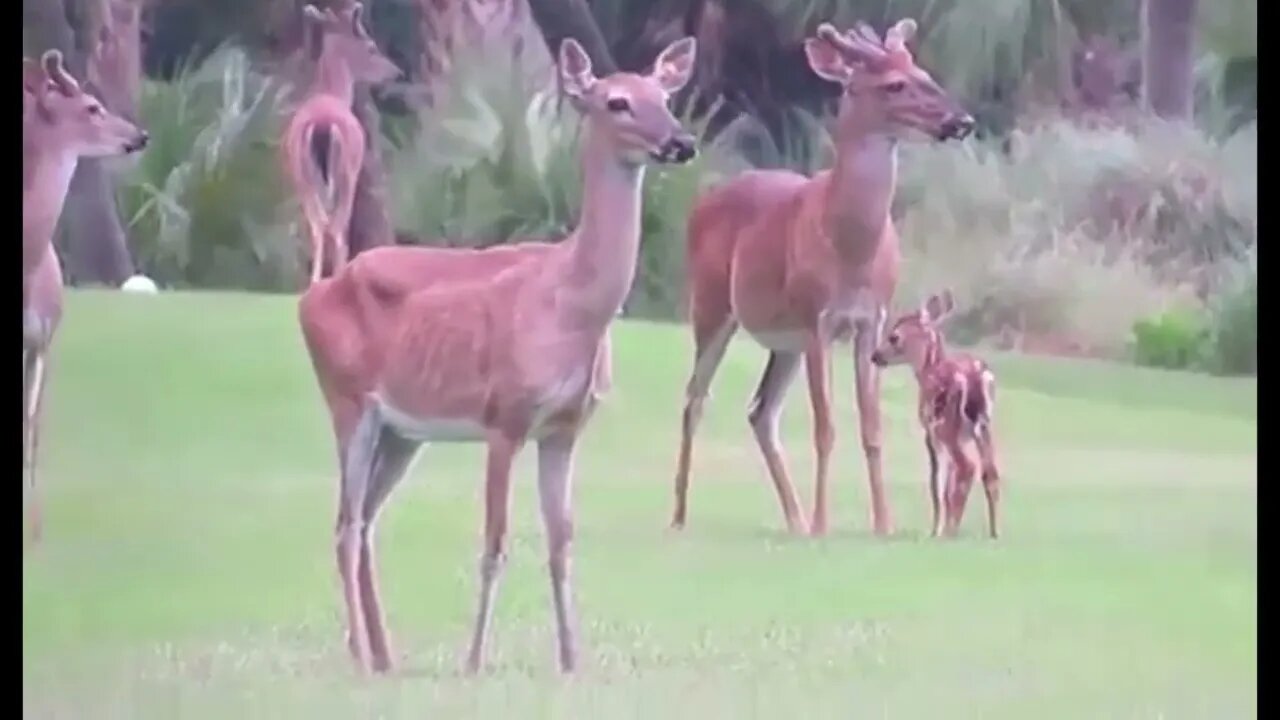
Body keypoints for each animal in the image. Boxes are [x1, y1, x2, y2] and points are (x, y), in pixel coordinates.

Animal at [282, 2, 396, 285]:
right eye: (371, 46)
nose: (395, 72)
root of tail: (322, 125)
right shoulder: (353, 170)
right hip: (345, 171)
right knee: (335, 223)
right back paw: (339, 276)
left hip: (303, 174)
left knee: (318, 223)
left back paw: (314, 282)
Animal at [296, 35, 701, 671]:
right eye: (616, 101)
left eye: (664, 95)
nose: (681, 142)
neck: (570, 304)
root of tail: (308, 300)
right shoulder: (505, 416)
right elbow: (494, 543)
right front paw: (474, 661)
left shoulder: (564, 428)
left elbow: (561, 542)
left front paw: (571, 660)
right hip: (347, 400)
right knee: (344, 525)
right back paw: (362, 659)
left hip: (402, 432)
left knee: (365, 524)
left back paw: (385, 658)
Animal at [670, 16, 967, 535]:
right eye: (894, 84)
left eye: (923, 71)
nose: (961, 120)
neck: (850, 249)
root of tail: (704, 201)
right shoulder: (816, 319)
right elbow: (826, 427)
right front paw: (825, 522)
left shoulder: (870, 319)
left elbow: (871, 428)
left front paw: (883, 524)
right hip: (711, 305)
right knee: (695, 398)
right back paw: (682, 516)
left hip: (784, 342)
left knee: (760, 411)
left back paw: (793, 519)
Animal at [870, 288, 998, 535]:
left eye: (894, 336)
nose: (876, 355)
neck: (927, 370)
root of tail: (974, 376)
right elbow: (947, 483)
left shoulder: (930, 432)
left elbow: (936, 483)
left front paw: (935, 530)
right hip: (983, 426)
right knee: (990, 472)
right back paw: (994, 532)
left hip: (947, 424)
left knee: (968, 467)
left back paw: (951, 531)